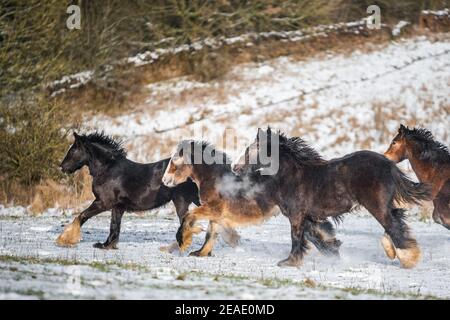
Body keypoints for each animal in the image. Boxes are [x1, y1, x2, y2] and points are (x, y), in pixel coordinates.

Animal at [56, 132, 206, 250]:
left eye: (73, 150)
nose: (62, 167)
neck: (107, 169)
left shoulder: (102, 203)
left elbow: (81, 216)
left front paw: (65, 239)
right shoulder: (118, 206)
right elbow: (114, 226)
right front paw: (106, 245)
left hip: (184, 201)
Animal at [162, 139, 342, 258]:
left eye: (174, 162)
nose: (165, 180)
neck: (216, 179)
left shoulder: (212, 208)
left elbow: (189, 216)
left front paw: (184, 241)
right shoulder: (216, 214)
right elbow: (211, 234)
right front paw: (200, 252)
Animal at [230, 127, 430, 268]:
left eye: (253, 150)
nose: (236, 168)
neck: (290, 176)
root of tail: (389, 165)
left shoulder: (296, 215)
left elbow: (296, 236)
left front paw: (289, 262)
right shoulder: (308, 216)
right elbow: (314, 234)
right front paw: (333, 250)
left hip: (378, 206)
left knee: (393, 226)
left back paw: (409, 259)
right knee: (397, 221)